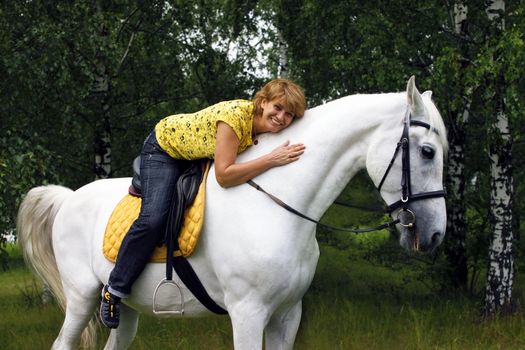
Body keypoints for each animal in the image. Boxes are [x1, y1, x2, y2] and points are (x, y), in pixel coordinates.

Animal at [18, 77, 448, 350]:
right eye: (428, 151)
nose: (434, 234)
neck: (276, 205)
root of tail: (69, 198)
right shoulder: (248, 314)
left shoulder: (287, 315)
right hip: (82, 297)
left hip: (127, 312)